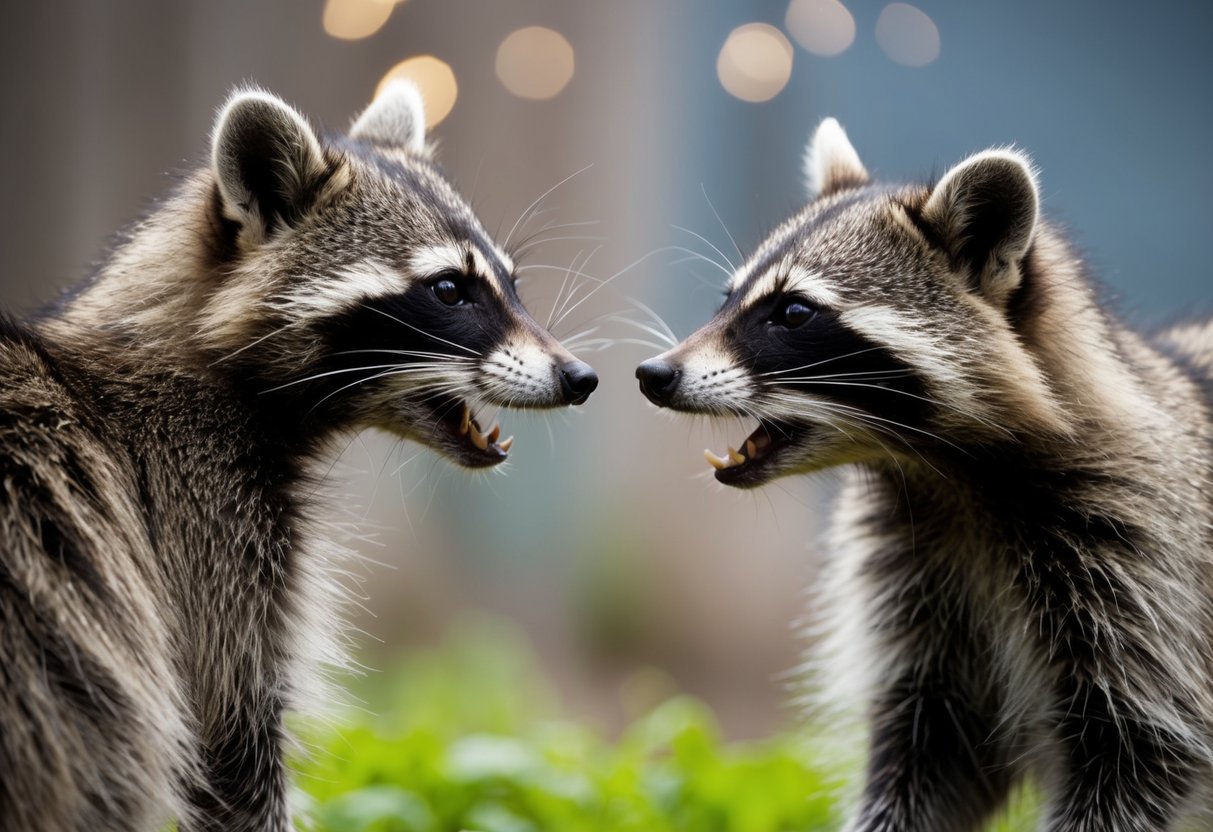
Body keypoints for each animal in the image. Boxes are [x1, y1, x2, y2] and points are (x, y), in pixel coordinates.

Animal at [637, 119, 1213, 830]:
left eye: (793, 312)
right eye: (730, 299)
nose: (654, 374)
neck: (943, 476)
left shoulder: (1145, 570)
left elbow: (1135, 760)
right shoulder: (917, 600)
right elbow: (924, 763)